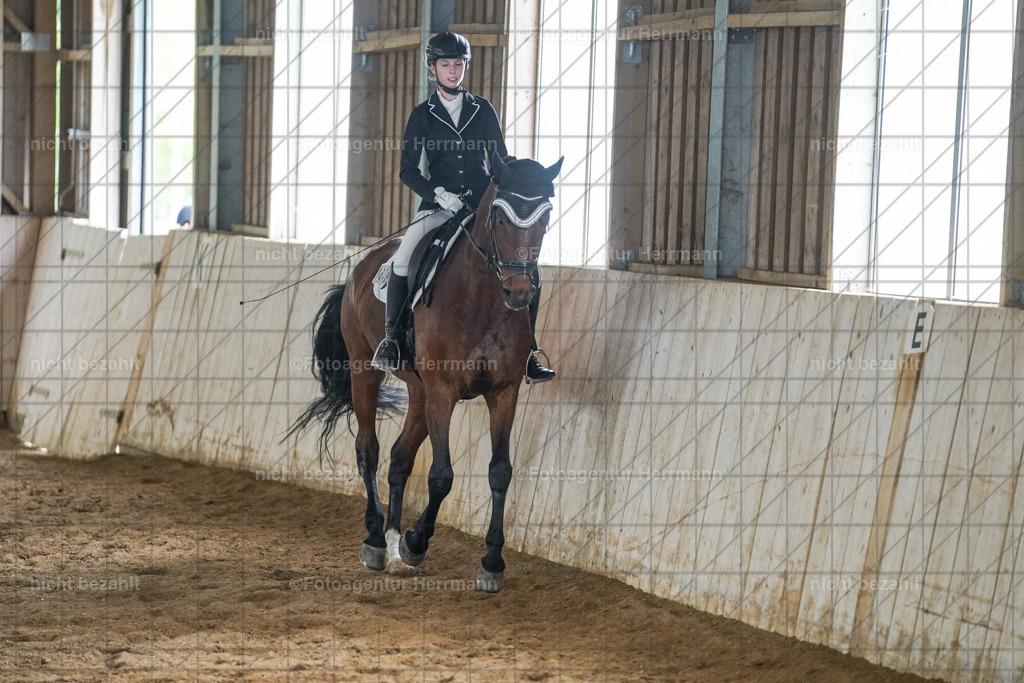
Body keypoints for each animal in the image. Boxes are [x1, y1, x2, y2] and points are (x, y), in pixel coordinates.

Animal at [288, 155, 563, 592]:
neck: (482, 298)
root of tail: (361, 267)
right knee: (368, 450)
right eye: (499, 216)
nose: (519, 292)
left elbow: (500, 472)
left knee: (400, 457)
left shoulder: (503, 392)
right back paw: (376, 540)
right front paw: (416, 542)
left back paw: (391, 534)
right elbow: (441, 476)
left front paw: (492, 561)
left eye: (546, 216)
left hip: (419, 393)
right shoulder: (443, 392)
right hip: (367, 372)